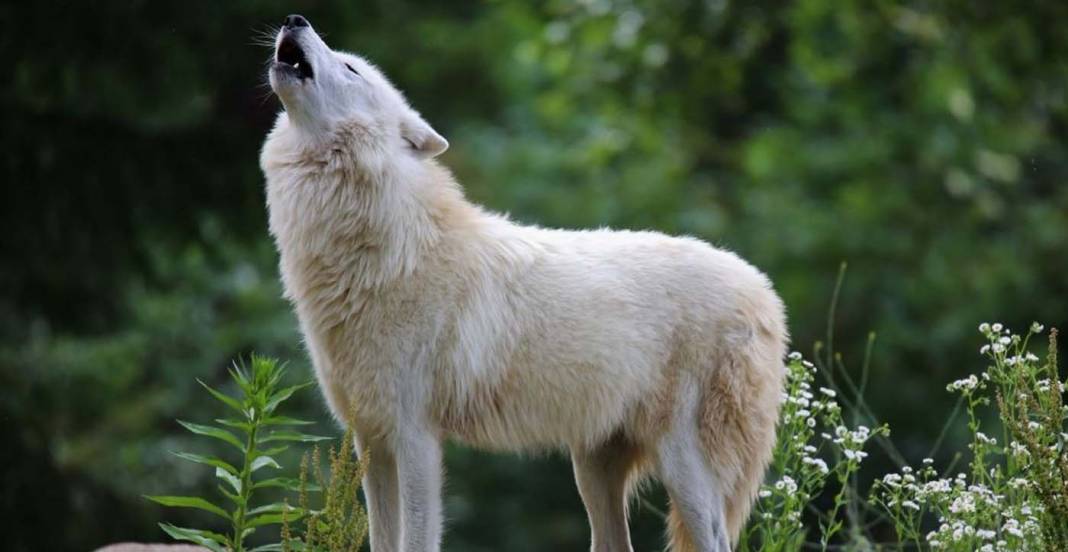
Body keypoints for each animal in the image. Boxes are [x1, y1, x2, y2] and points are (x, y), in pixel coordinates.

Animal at [262, 11, 790, 550]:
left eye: (350, 68)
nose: (295, 18)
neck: (390, 250)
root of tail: (763, 291)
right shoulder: (371, 440)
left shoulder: (415, 438)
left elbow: (418, 537)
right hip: (593, 469)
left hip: (684, 469)